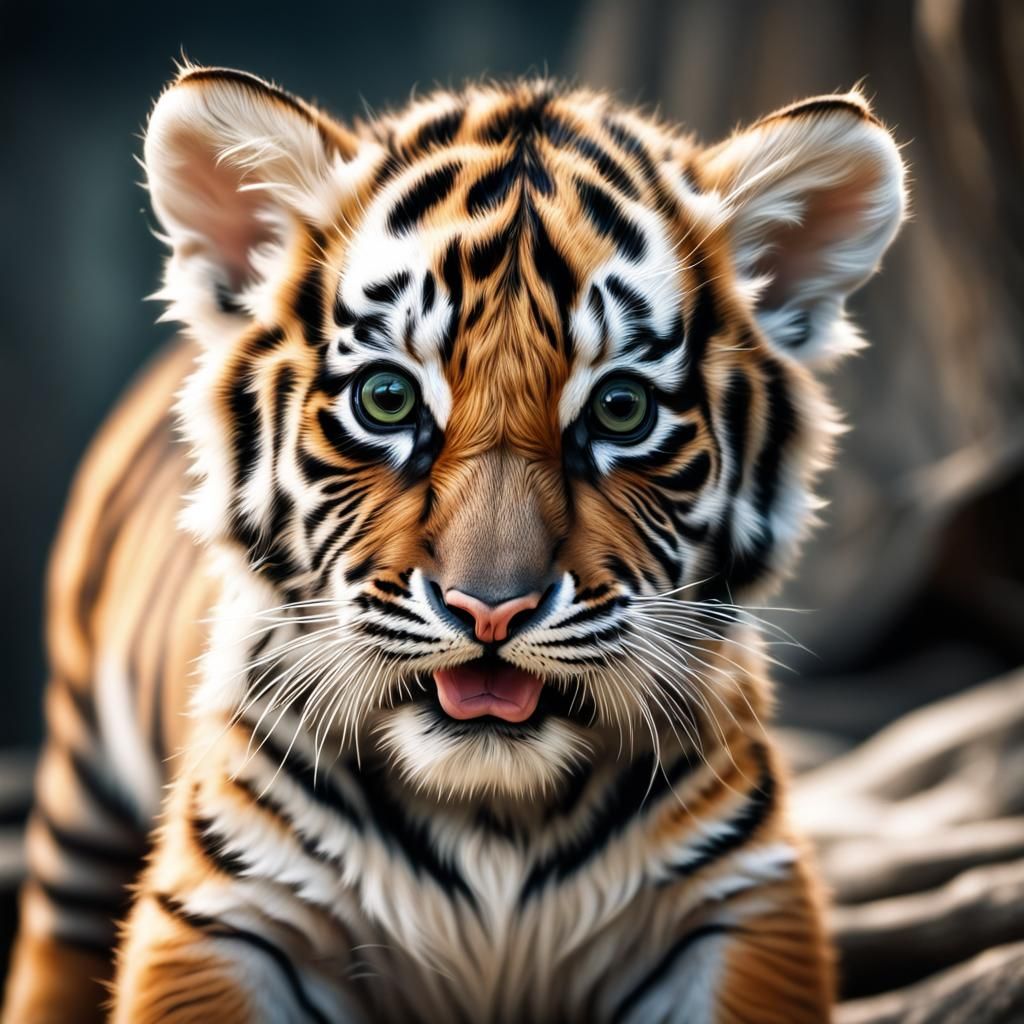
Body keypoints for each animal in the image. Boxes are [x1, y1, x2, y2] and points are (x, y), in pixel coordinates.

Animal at [2, 65, 906, 1023]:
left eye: (621, 409)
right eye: (387, 399)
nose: (491, 610)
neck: (493, 816)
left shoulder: (742, 901)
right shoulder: (227, 908)